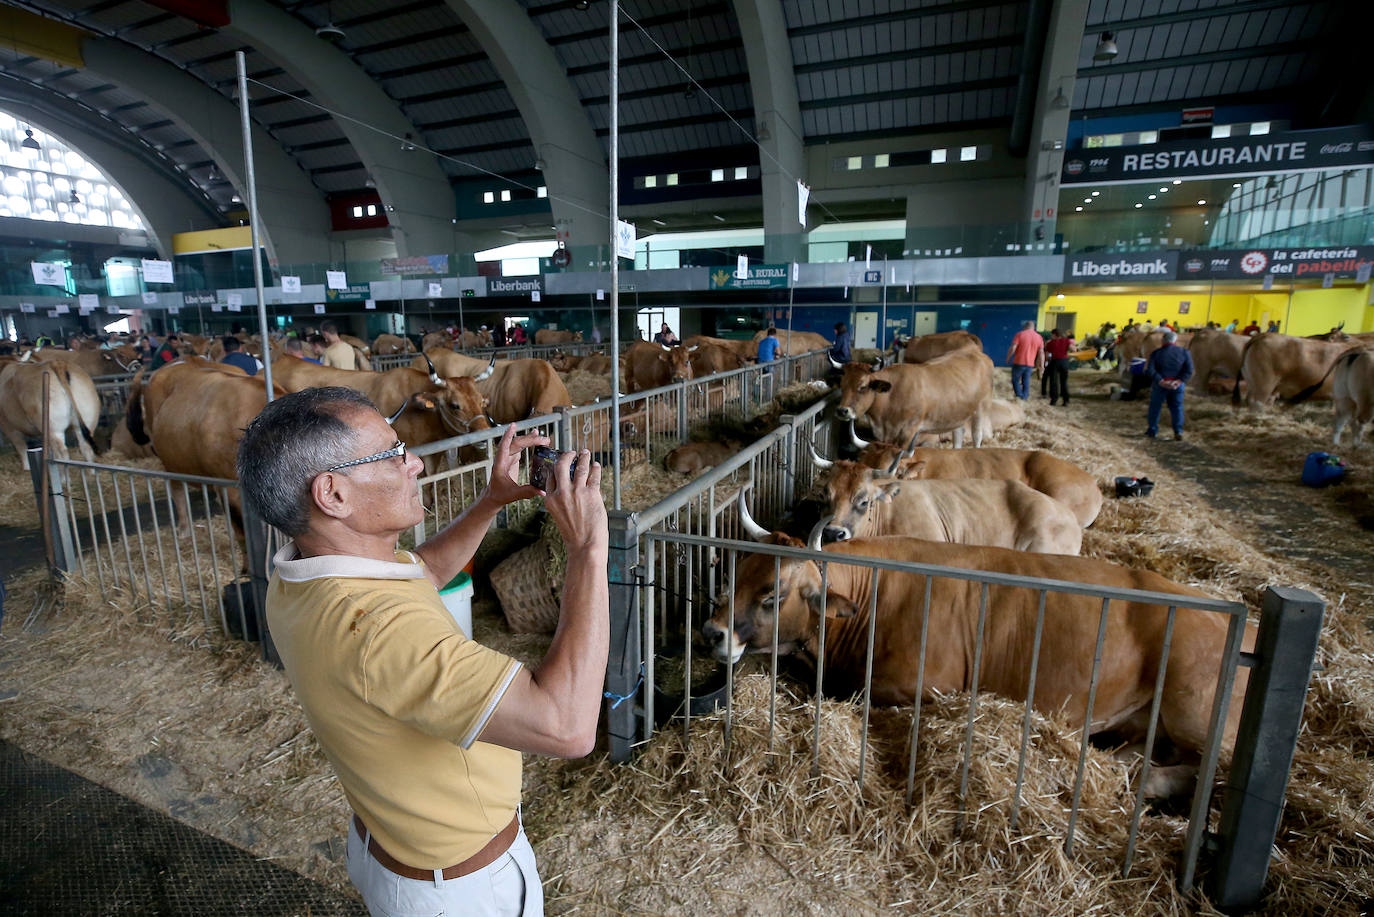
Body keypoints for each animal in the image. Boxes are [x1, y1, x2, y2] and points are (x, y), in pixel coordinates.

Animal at [708, 530, 1258, 797]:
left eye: (772, 595)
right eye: (735, 570)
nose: (712, 631)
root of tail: (1243, 624)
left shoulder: (927, 686)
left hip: (1197, 711)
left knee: (1212, 768)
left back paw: (1146, 780)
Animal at [829, 347, 994, 448]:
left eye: (863, 386)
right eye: (842, 385)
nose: (842, 411)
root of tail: (976, 352)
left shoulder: (909, 431)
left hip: (981, 409)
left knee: (977, 435)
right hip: (958, 414)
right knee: (958, 435)